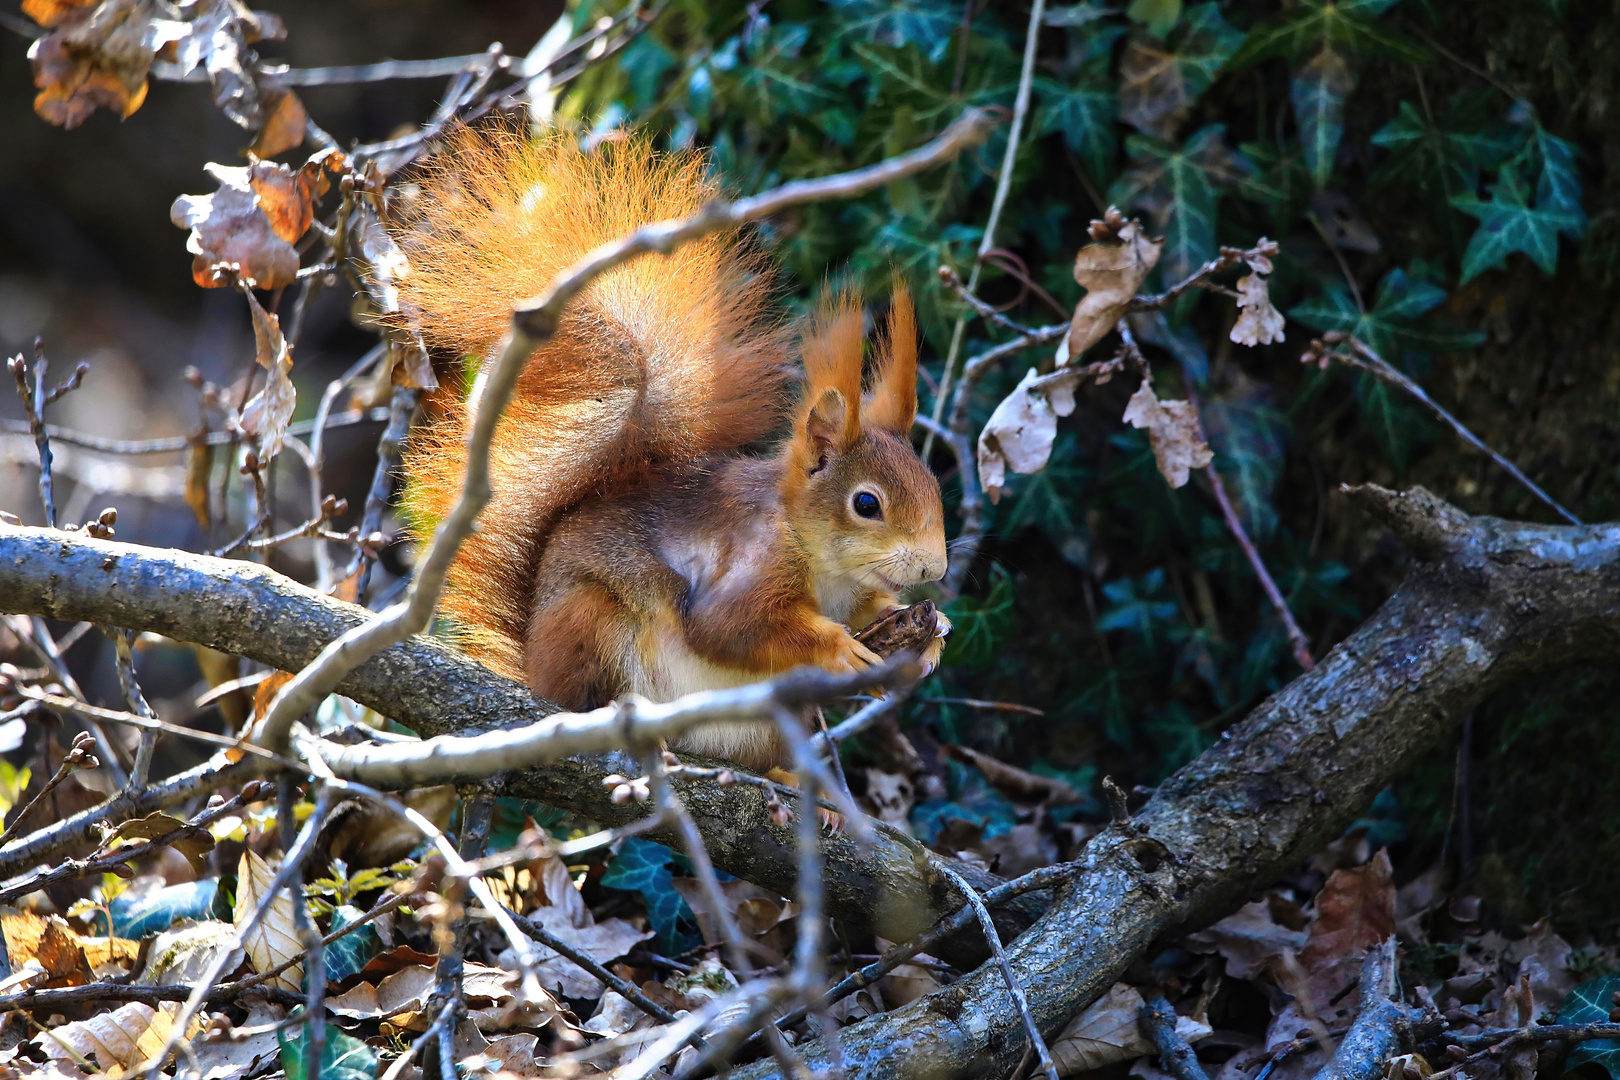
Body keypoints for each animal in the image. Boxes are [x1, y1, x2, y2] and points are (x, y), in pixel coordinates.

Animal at [395, 128, 946, 777]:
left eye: (934, 487)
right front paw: (839, 646)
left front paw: (927, 637)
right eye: (866, 504)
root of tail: (532, 665)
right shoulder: (750, 562)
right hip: (588, 620)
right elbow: (728, 628)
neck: (824, 561)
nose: (934, 570)